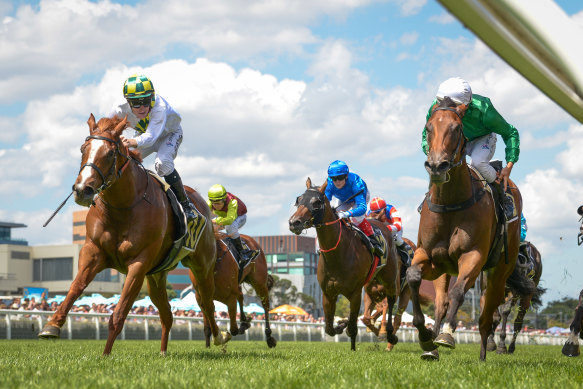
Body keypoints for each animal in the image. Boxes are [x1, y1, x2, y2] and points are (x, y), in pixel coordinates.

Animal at [37, 113, 230, 354]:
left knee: (207, 302)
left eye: (110, 153)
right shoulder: (93, 252)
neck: (123, 207)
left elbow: (119, 312)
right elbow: (75, 288)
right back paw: (163, 352)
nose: (83, 190)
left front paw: (105, 355)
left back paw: (220, 336)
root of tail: (202, 204)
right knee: (167, 314)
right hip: (156, 275)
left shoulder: (138, 263)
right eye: (83, 149)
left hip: (201, 266)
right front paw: (52, 326)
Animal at [288, 177, 402, 350]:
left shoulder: (355, 293)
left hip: (389, 278)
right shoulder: (328, 293)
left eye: (316, 202)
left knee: (390, 301)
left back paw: (388, 333)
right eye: (299, 199)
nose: (294, 222)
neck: (337, 255)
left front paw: (353, 345)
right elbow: (329, 328)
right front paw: (340, 324)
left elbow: (353, 329)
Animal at [406, 98, 524, 360]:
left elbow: (459, 292)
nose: (437, 165)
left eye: (457, 128)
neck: (451, 202)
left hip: (500, 271)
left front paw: (447, 335)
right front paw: (425, 337)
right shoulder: (430, 257)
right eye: (428, 127)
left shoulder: (473, 256)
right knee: (443, 302)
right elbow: (413, 277)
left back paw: (485, 352)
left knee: (489, 312)